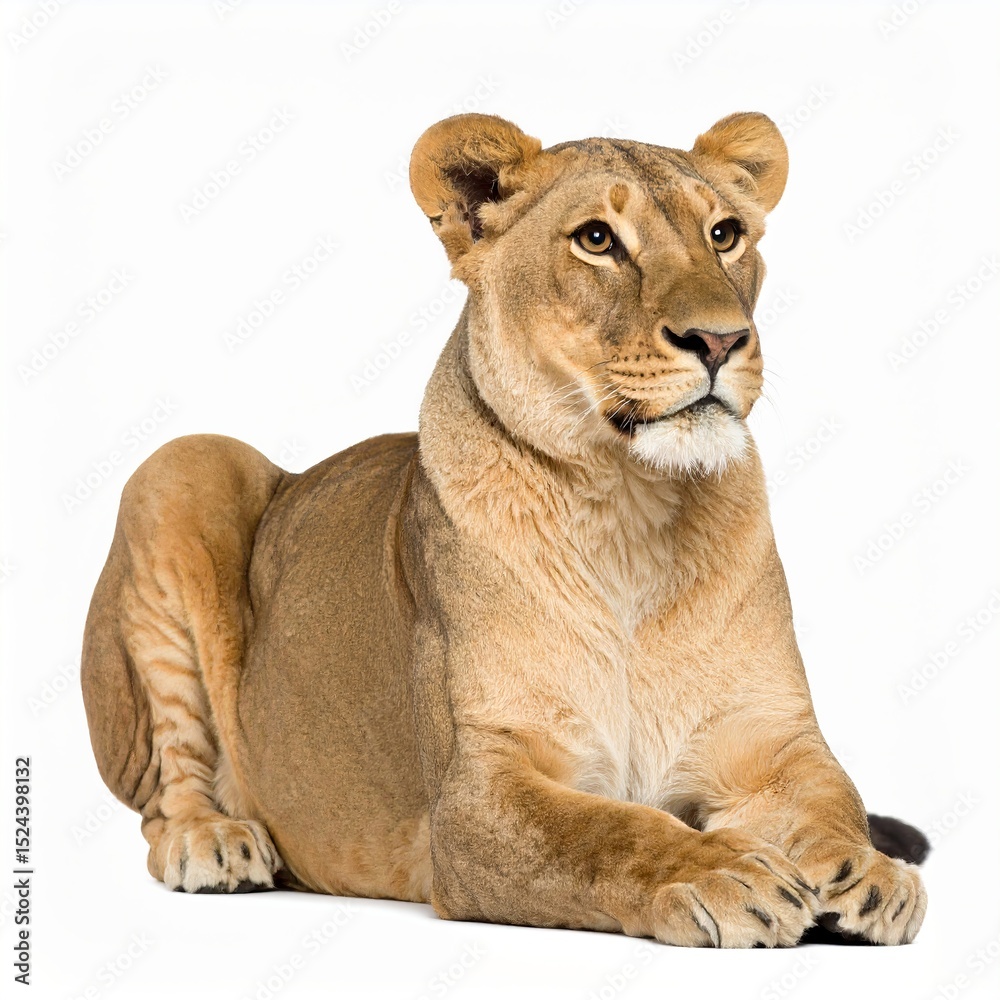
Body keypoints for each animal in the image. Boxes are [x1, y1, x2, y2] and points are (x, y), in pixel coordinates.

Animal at [81, 111, 928, 947]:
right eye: (597, 240)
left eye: (724, 234)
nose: (721, 341)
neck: (632, 512)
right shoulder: (476, 792)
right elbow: (611, 833)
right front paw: (725, 871)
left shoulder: (773, 743)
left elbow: (835, 803)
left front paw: (868, 874)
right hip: (184, 466)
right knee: (164, 793)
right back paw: (216, 842)